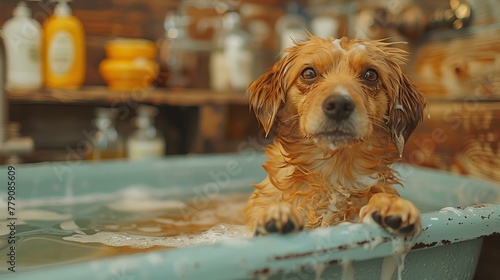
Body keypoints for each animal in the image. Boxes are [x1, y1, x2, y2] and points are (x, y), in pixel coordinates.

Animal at [244, 36, 428, 237]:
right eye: (309, 73)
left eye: (371, 75)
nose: (339, 104)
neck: (334, 173)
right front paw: (278, 212)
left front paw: (389, 204)